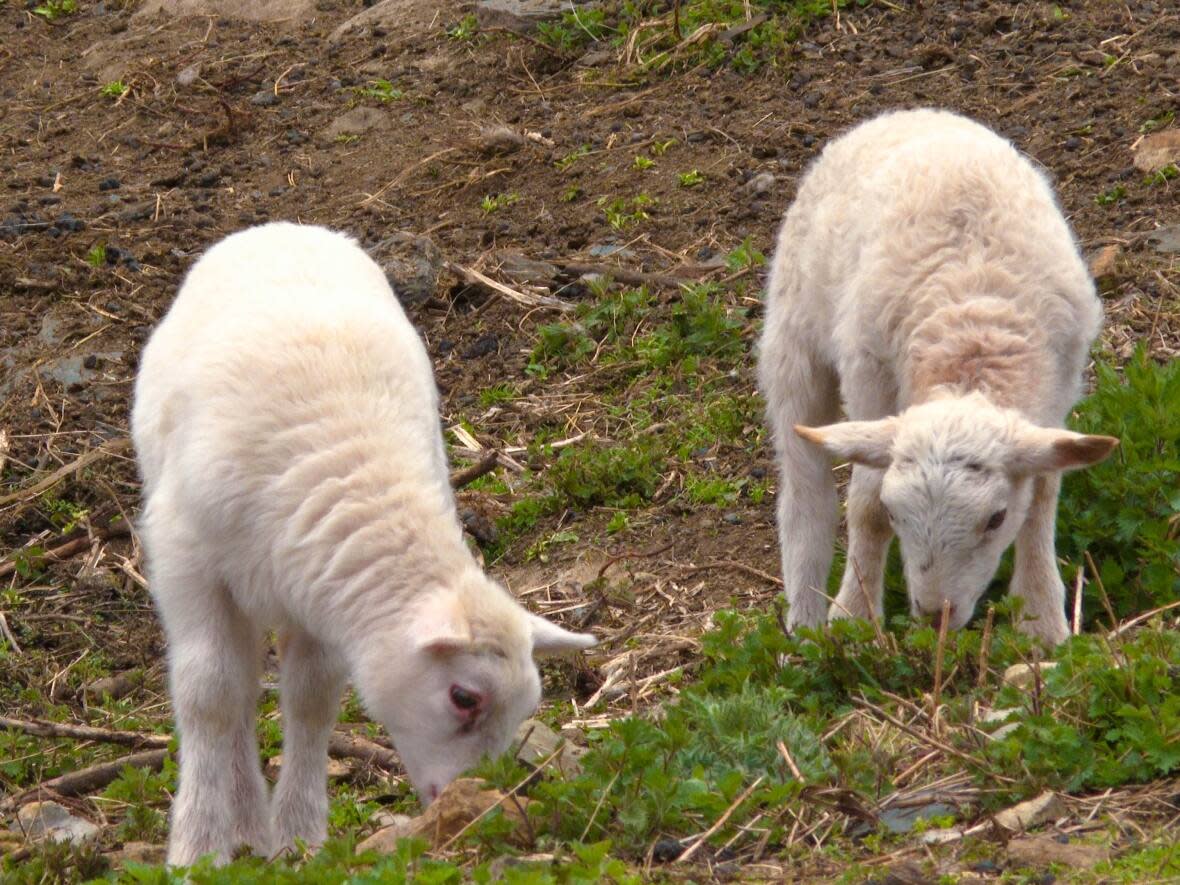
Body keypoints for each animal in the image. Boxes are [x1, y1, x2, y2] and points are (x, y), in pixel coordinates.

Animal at [135, 221, 599, 868]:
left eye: (527, 712)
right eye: (464, 697)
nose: (474, 800)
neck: (358, 475)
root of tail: (286, 226)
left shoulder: (321, 592)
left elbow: (311, 699)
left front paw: (300, 839)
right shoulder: (187, 562)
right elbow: (210, 696)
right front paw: (197, 850)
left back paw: (252, 825)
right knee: (238, 691)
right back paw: (241, 823)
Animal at [759, 109, 1118, 646]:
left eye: (996, 519)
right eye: (896, 514)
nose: (935, 616)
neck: (971, 332)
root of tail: (910, 112)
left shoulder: (1058, 385)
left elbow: (1041, 495)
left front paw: (1040, 620)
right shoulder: (869, 374)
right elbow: (863, 506)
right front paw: (854, 618)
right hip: (795, 339)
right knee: (805, 491)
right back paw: (805, 622)